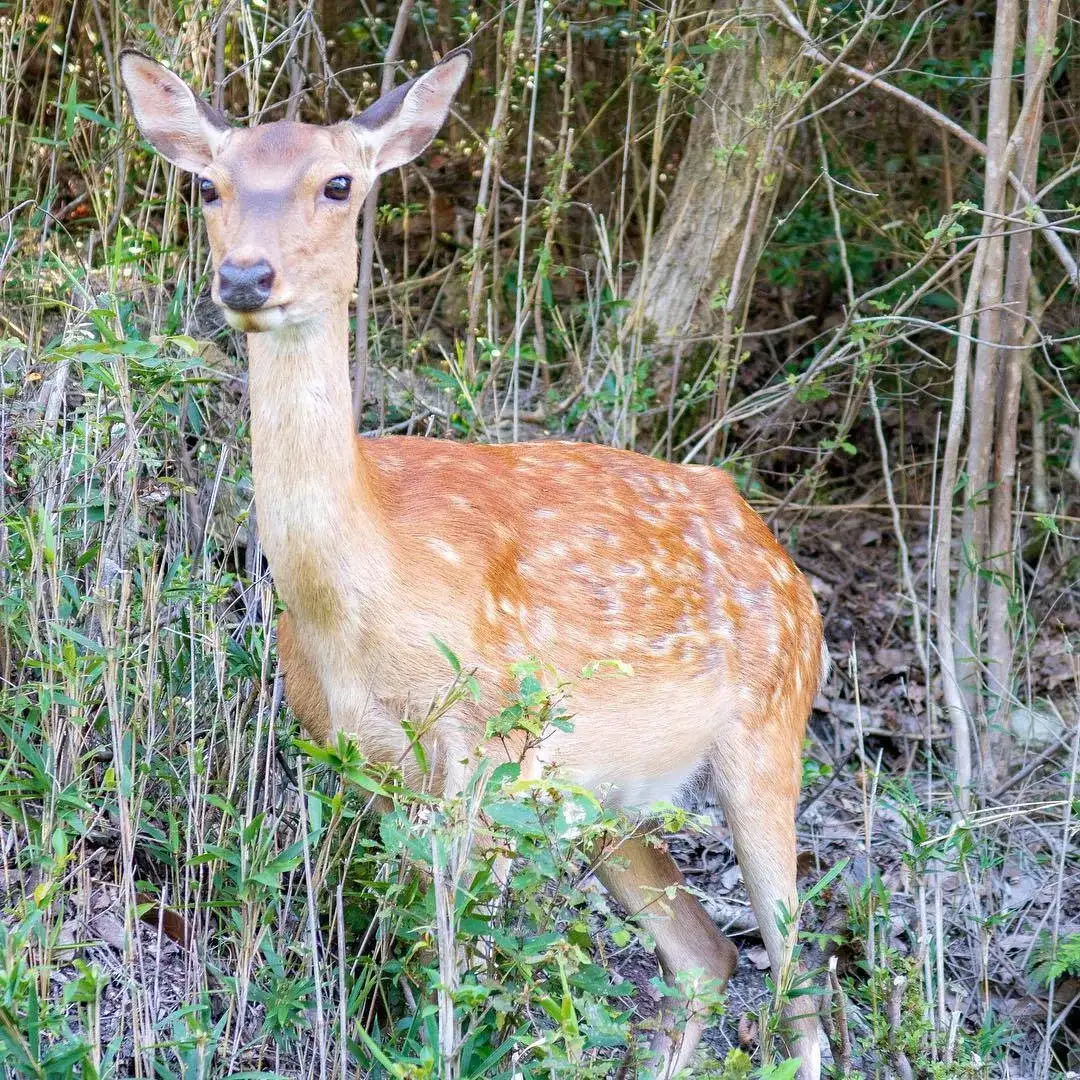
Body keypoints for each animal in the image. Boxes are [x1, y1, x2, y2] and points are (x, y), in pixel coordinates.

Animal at [120, 47, 827, 1079]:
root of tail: (787, 565)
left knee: (798, 982)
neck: (358, 607)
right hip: (603, 795)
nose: (246, 276)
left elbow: (467, 975)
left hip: (768, 736)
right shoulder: (363, 761)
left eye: (339, 183)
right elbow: (420, 951)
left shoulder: (488, 753)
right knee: (706, 953)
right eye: (209, 185)